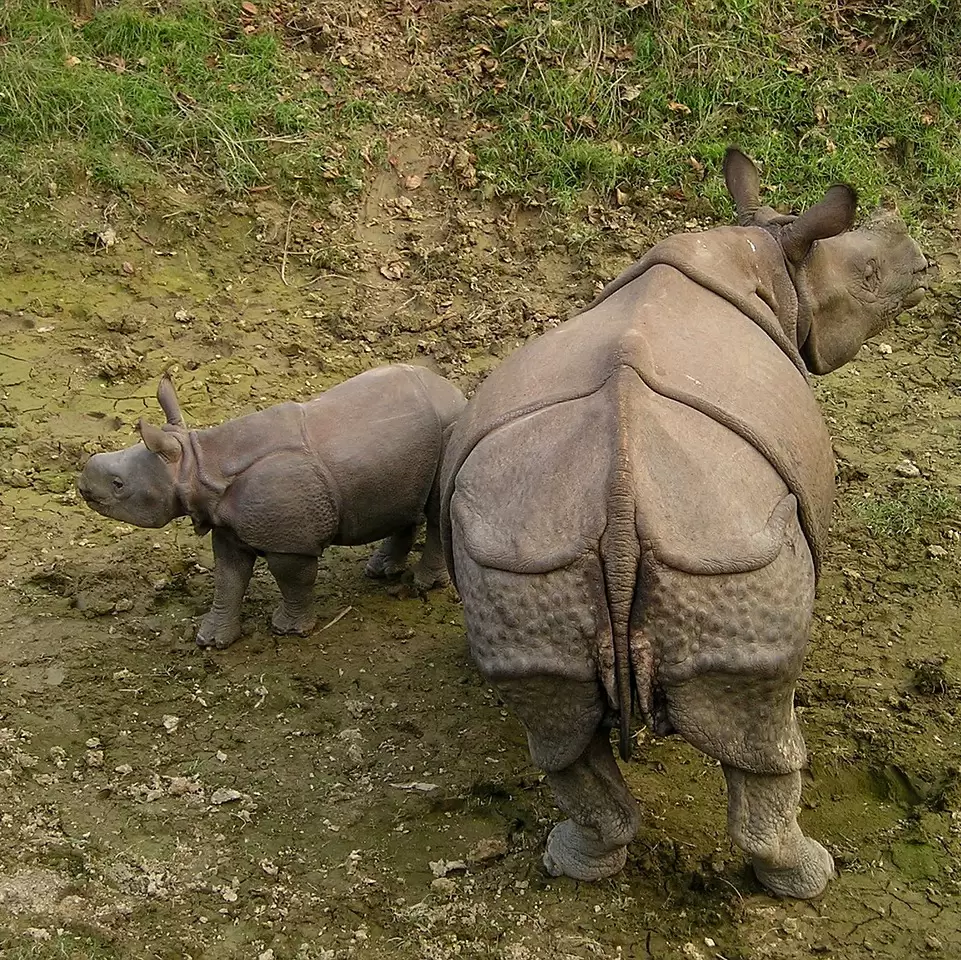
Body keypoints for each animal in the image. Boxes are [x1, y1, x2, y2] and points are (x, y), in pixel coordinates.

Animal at [79, 364, 466, 649]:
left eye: (118, 485)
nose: (83, 484)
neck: (196, 464)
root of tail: (453, 390)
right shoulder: (227, 528)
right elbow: (228, 578)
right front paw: (211, 640)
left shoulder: (290, 542)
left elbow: (292, 578)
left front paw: (288, 630)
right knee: (405, 501)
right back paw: (379, 571)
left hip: (450, 426)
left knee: (436, 509)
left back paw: (422, 585)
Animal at [440, 149, 928, 899]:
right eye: (868, 276)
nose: (923, 261)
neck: (769, 254)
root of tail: (616, 506)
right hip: (730, 551)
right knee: (765, 736)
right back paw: (809, 878)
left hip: (526, 558)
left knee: (559, 735)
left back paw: (573, 861)